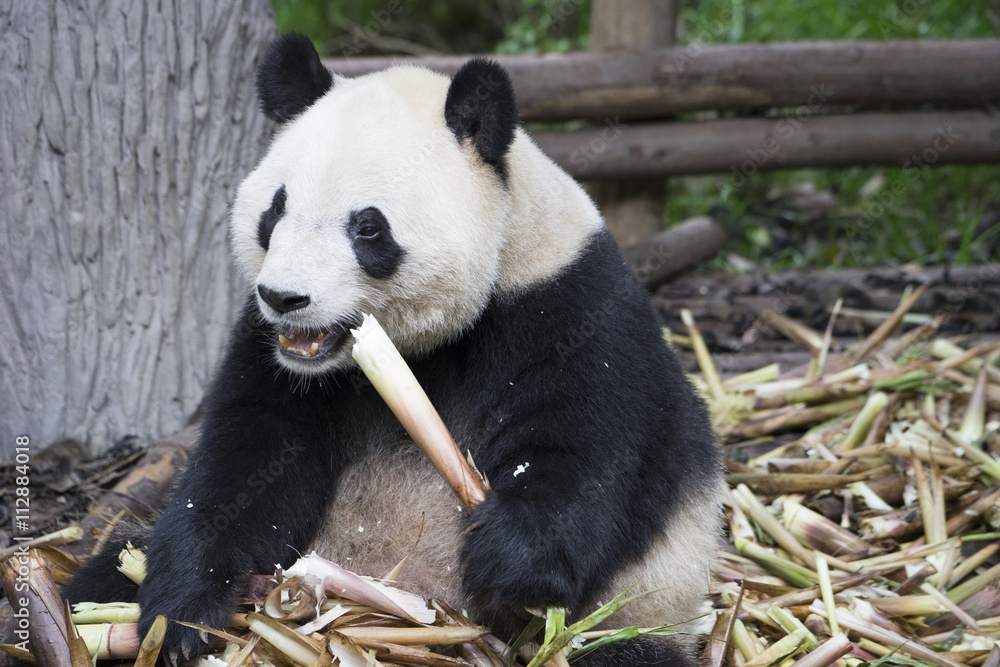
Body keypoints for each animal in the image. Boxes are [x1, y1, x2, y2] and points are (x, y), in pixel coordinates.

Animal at [65, 33, 722, 666]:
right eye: (275, 210)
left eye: (367, 227)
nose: (284, 297)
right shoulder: (267, 349)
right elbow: (247, 458)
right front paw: (180, 617)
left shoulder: (568, 304)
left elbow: (583, 443)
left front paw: (508, 563)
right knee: (99, 576)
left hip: (645, 604)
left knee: (625, 646)